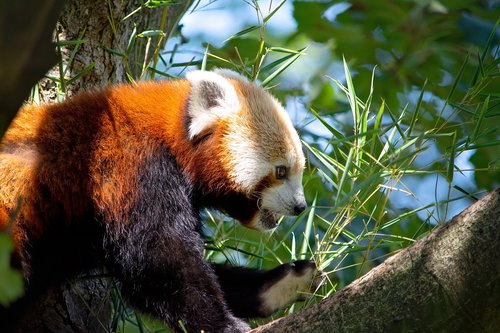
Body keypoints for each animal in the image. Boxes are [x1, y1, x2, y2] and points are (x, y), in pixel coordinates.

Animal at [0, 68, 318, 330]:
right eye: (281, 171)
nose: (300, 206)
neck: (170, 139)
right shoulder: (135, 170)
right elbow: (161, 262)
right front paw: (222, 324)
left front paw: (277, 285)